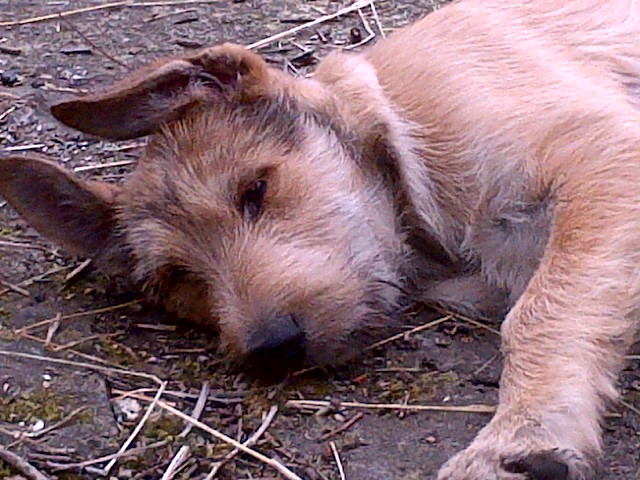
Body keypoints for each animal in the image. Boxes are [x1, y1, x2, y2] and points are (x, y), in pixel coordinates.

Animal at [1, 0, 640, 478]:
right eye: (178, 278)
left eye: (255, 190)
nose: (273, 348)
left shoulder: (605, 155)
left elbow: (540, 312)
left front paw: (522, 436)